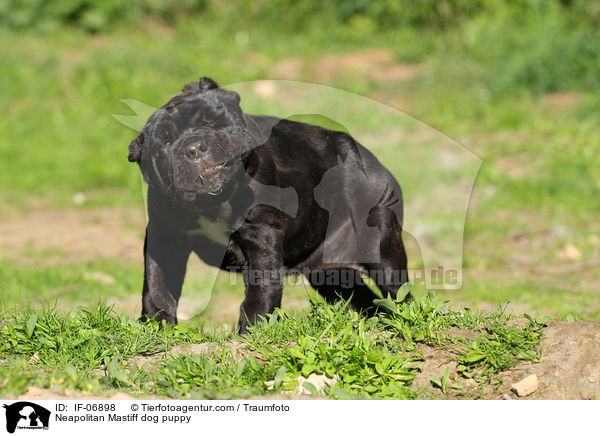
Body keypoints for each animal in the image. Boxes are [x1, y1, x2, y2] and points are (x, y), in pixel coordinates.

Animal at [126, 76, 408, 332]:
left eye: (210, 121)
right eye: (164, 142)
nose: (194, 148)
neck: (214, 203)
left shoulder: (261, 235)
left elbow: (261, 288)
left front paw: (253, 329)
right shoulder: (166, 238)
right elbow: (157, 283)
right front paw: (156, 326)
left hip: (380, 246)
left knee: (397, 290)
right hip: (329, 274)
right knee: (362, 299)